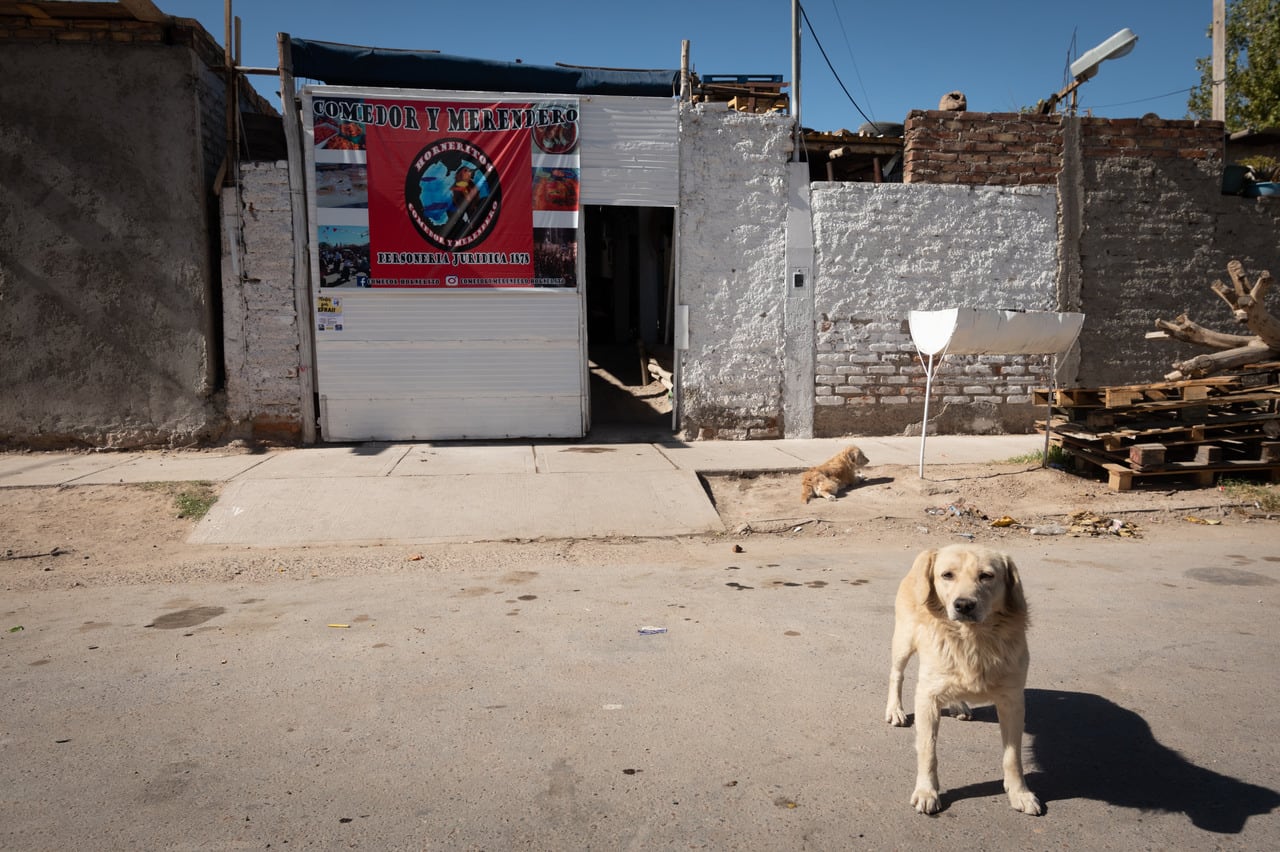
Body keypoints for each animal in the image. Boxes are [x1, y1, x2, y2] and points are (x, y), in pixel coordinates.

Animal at [885, 544, 1044, 818]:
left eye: (986, 576)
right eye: (947, 575)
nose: (964, 605)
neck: (973, 640)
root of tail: (929, 551)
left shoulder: (1013, 701)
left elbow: (1012, 756)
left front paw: (1019, 793)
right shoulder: (926, 698)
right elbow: (928, 751)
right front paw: (927, 791)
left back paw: (959, 704)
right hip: (904, 642)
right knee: (896, 674)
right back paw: (895, 709)